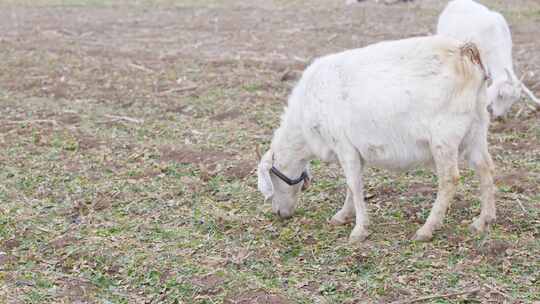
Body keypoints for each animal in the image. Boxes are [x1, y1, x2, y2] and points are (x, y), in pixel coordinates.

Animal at [258, 35, 494, 243]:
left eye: (274, 178)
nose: (279, 213)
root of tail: (466, 51)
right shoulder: (354, 151)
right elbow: (351, 185)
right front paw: (342, 216)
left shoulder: (344, 146)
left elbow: (354, 185)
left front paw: (359, 230)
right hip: (477, 128)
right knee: (485, 169)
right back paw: (482, 221)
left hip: (444, 137)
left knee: (449, 179)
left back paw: (426, 230)